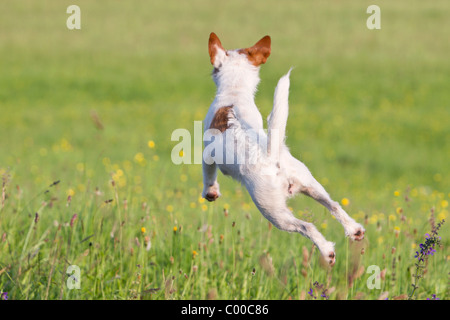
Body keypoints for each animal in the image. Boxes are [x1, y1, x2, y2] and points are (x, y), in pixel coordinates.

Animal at [202, 33, 364, 266]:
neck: (235, 93)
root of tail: (272, 157)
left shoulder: (206, 155)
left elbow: (209, 177)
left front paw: (211, 193)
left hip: (272, 210)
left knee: (306, 226)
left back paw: (327, 251)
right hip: (310, 183)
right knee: (333, 205)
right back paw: (354, 230)